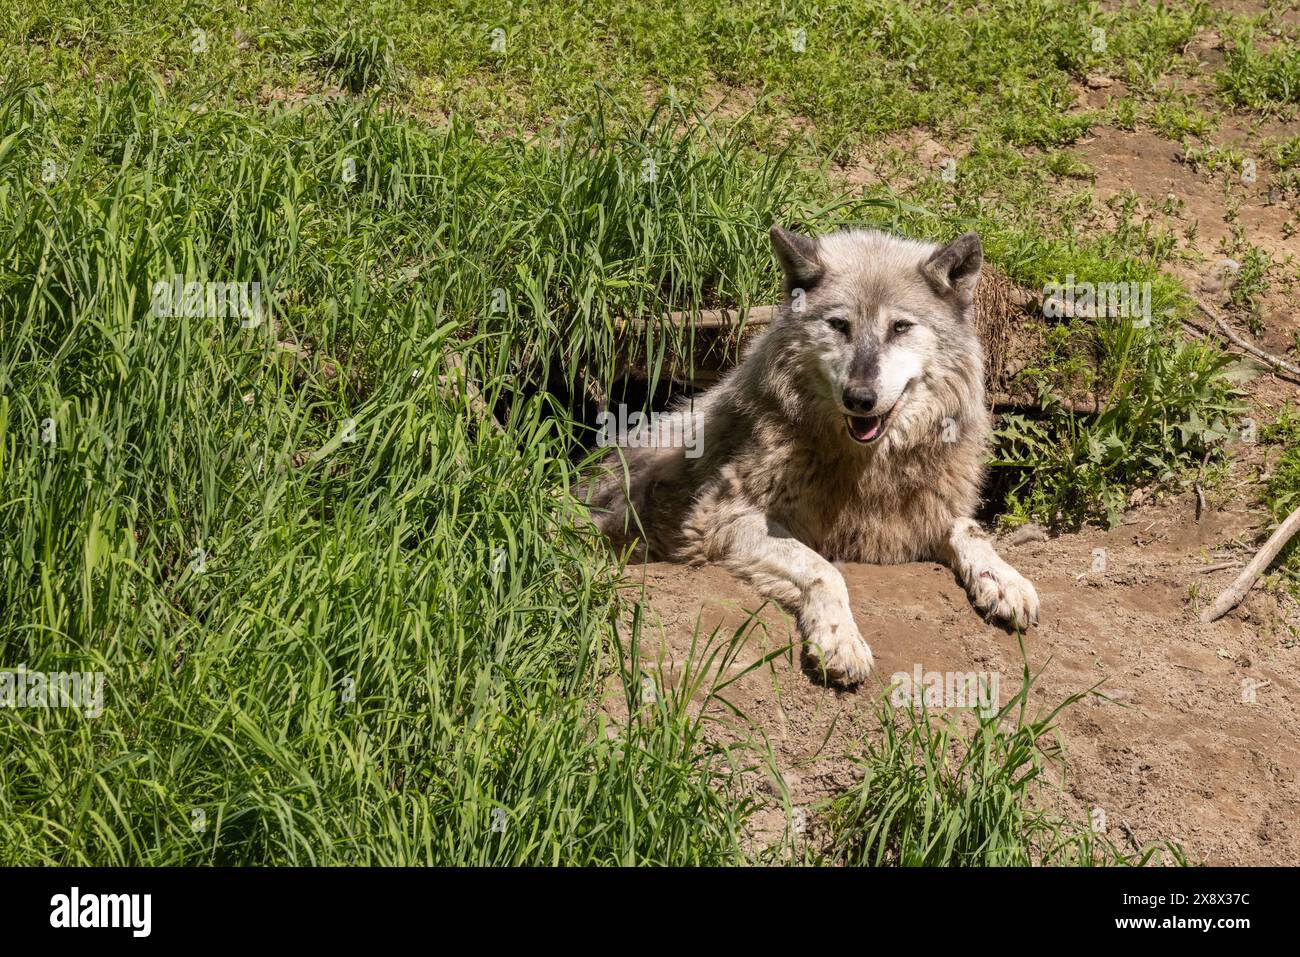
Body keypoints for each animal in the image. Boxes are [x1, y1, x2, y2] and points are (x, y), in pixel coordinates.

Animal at [595, 223, 1040, 686]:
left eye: (900, 327)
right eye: (839, 324)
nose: (859, 398)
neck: (865, 469)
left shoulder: (924, 516)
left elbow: (971, 530)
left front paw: (1005, 579)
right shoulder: (722, 520)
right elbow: (824, 570)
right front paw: (840, 640)